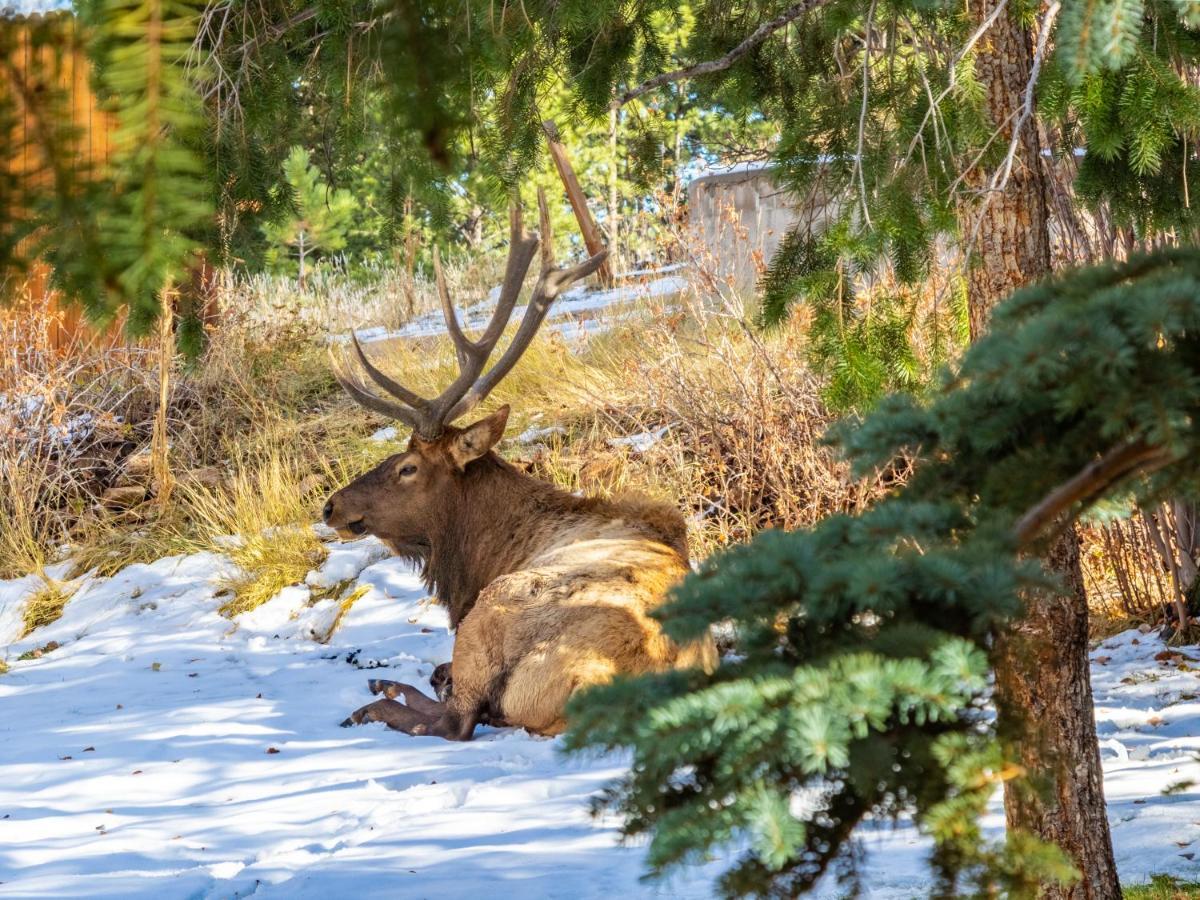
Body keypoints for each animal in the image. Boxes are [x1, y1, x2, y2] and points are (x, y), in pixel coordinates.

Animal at [324, 194, 715, 744]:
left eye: (407, 467)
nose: (331, 505)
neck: (480, 557)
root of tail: (593, 682)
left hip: (498, 611)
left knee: (455, 719)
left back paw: (379, 698)